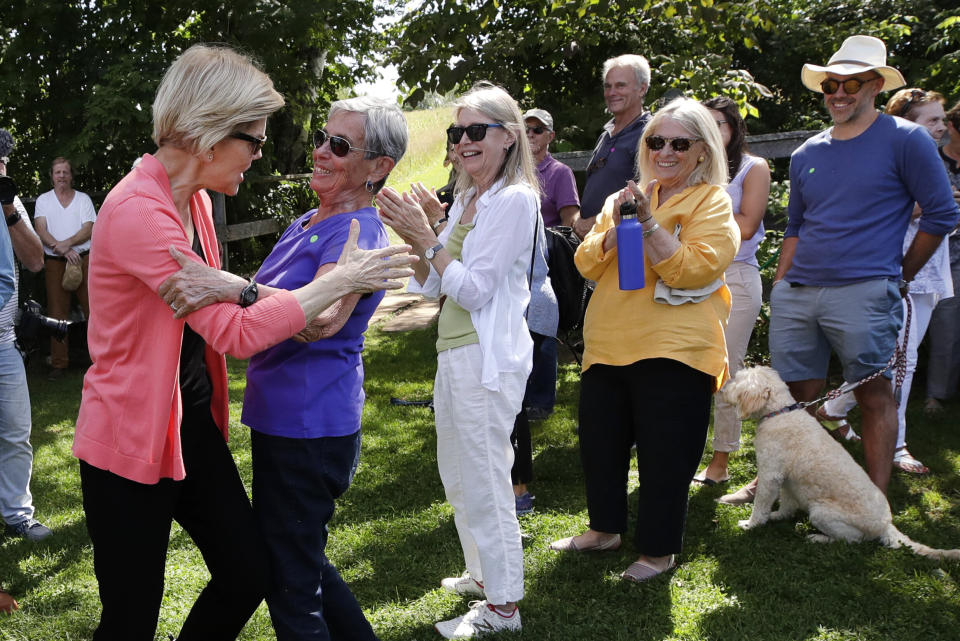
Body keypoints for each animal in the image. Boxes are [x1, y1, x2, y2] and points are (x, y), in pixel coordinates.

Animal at [724, 364, 956, 560]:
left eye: (737, 380)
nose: (723, 386)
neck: (778, 413)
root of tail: (885, 525)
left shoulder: (770, 474)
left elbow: (760, 504)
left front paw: (751, 524)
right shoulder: (787, 480)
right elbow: (787, 505)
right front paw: (776, 516)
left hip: (821, 513)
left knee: (853, 540)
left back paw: (819, 538)